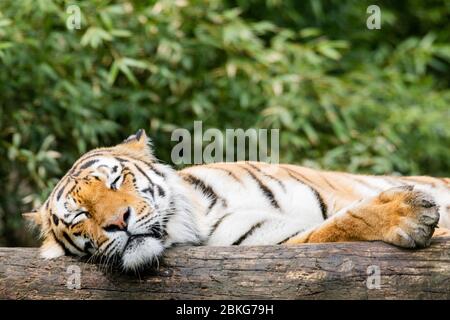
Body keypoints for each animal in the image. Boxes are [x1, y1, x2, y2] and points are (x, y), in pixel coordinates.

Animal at [23, 129, 450, 272]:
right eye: (80, 214)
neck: (199, 216)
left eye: (115, 181)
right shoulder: (274, 243)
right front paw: (407, 212)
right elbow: (336, 227)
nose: (118, 222)